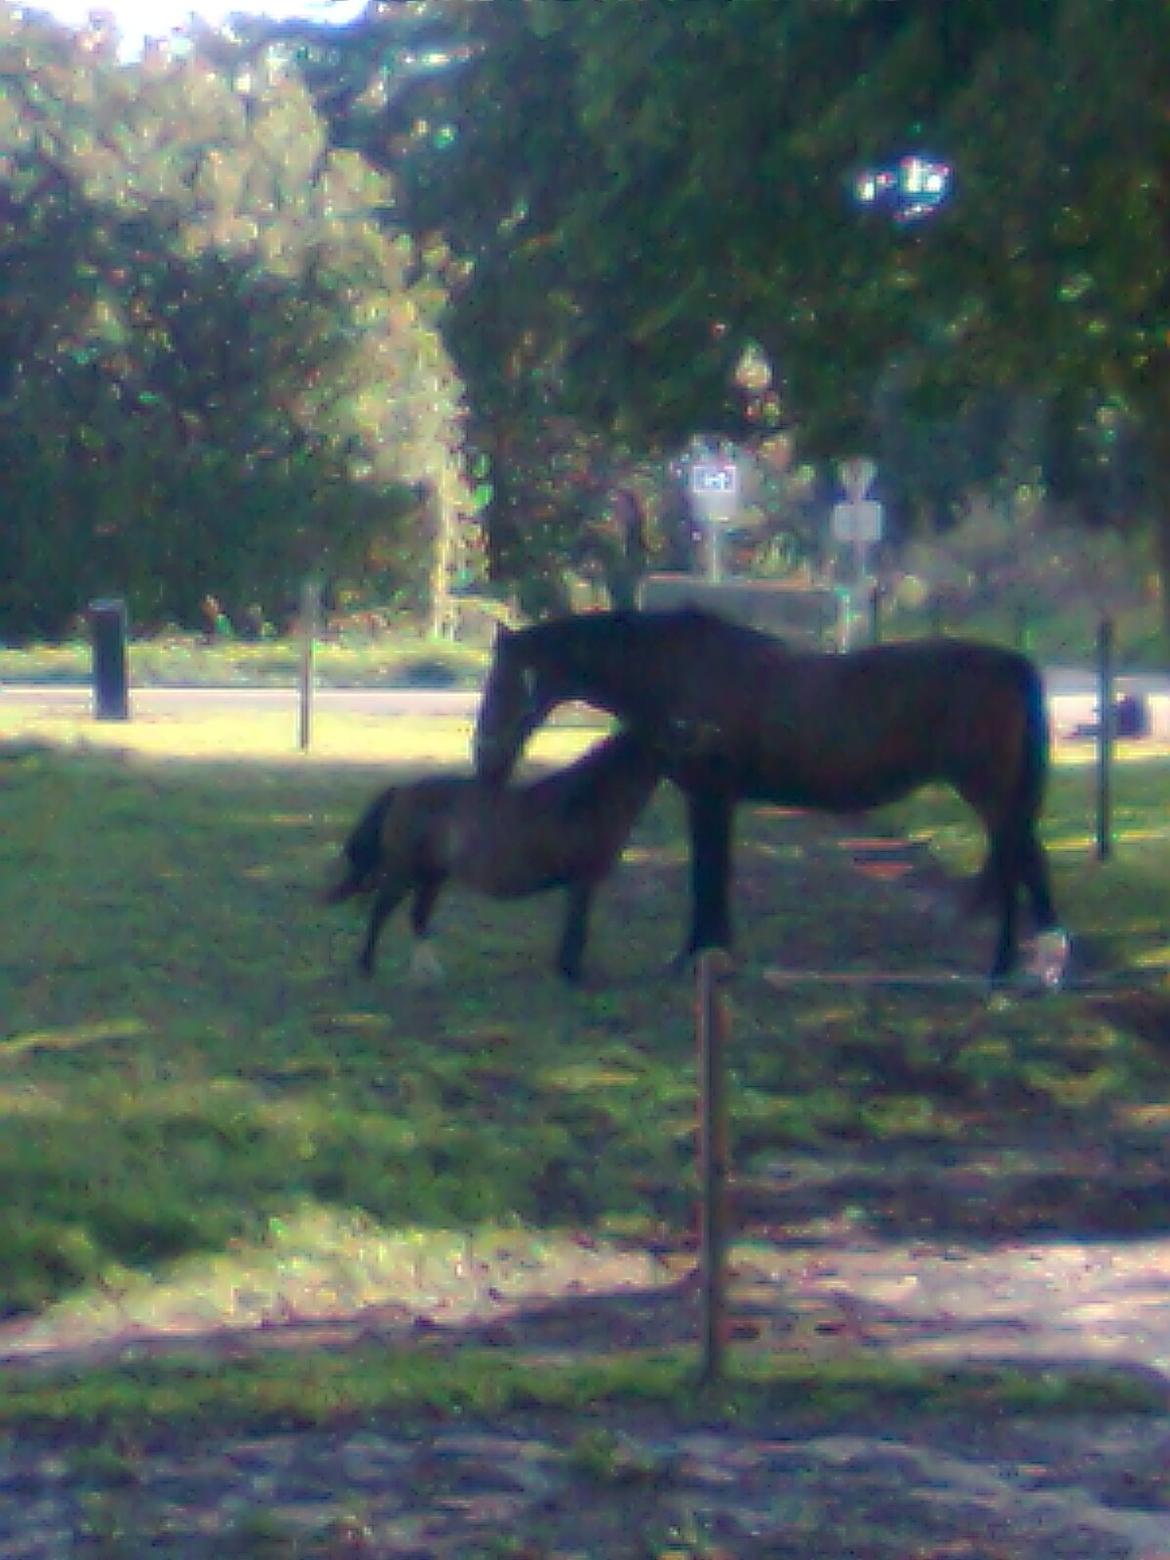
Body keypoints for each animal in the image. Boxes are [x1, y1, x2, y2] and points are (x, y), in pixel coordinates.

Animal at [326, 726, 664, 973]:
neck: (585, 802)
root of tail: (402, 792)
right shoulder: (582, 881)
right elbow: (577, 929)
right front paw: (570, 972)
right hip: (404, 873)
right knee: (381, 911)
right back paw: (368, 966)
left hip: (432, 877)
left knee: (417, 918)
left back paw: (428, 974)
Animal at [471, 605, 1067, 979]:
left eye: (504, 684)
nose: (485, 761)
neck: (681, 669)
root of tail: (1013, 663)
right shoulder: (710, 799)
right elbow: (711, 877)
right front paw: (705, 955)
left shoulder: (711, 796)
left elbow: (709, 877)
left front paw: (701, 957)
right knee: (1020, 863)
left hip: (991, 793)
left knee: (1021, 864)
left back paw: (1013, 968)